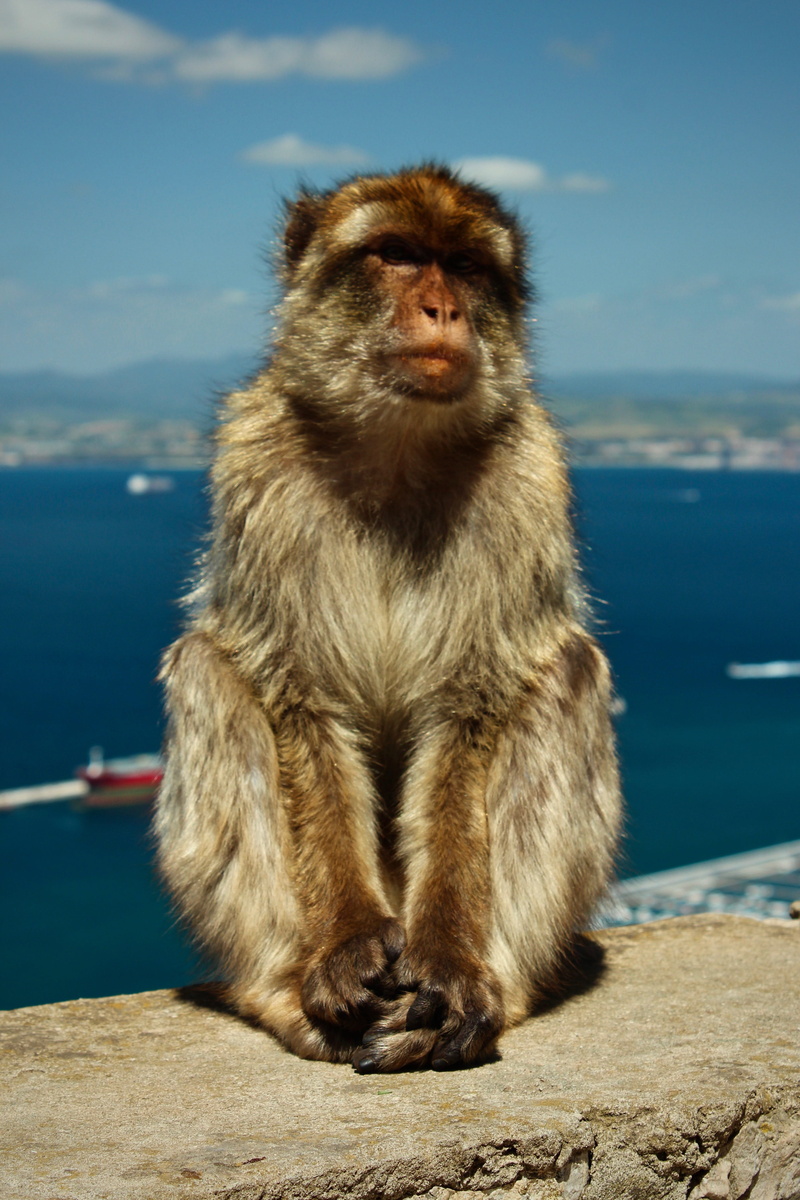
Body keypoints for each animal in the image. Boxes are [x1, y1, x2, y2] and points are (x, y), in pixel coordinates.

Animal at [154, 164, 621, 1073]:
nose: (442, 308)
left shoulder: (527, 478)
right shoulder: (256, 465)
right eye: (399, 255)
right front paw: (345, 947)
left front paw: (449, 964)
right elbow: (297, 698)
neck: (399, 445)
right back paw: (287, 992)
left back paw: (488, 993)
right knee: (204, 668)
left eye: (467, 266)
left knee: (572, 672)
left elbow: (473, 708)